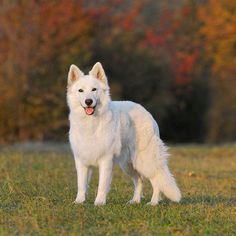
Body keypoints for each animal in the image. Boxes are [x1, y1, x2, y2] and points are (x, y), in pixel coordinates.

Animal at [66, 62, 181, 205]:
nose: (88, 101)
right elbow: (81, 184)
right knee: (139, 180)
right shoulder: (82, 161)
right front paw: (79, 201)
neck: (91, 123)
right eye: (80, 91)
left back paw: (153, 203)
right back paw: (135, 201)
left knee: (156, 180)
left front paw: (99, 203)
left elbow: (102, 185)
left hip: (145, 161)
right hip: (128, 164)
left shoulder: (106, 160)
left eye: (94, 89)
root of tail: (147, 112)